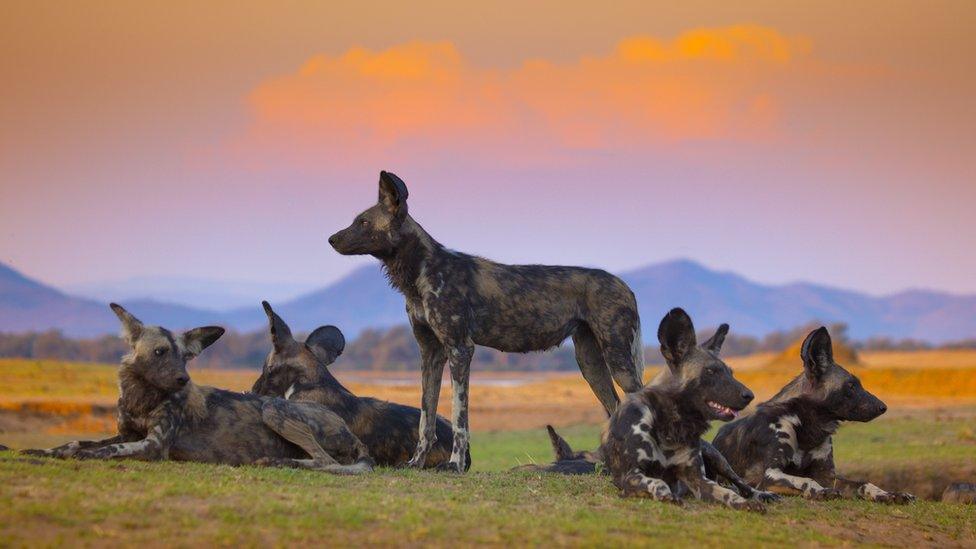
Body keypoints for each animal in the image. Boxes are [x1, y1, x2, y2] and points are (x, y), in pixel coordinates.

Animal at [23, 302, 374, 474]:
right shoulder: (126, 434)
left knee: (325, 462)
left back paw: (278, 462)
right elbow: (75, 441)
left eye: (186, 357)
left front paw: (80, 455)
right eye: (160, 352)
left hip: (273, 408)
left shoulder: (152, 445)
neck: (141, 398)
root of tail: (351, 432)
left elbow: (103, 450)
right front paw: (43, 451)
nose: (183, 379)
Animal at [332, 171, 644, 470]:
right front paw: (416, 463)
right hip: (590, 364)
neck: (422, 270)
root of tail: (624, 285)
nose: (331, 239)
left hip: (618, 362)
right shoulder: (430, 353)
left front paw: (455, 464)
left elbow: (459, 418)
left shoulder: (460, 349)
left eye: (363, 222)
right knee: (615, 408)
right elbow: (426, 419)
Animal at [600, 308, 768, 510]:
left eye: (730, 373)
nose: (750, 395)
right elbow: (658, 482)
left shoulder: (698, 479)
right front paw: (666, 495)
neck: (671, 423)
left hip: (718, 459)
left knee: (740, 484)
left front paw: (744, 503)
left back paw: (762, 494)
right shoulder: (630, 475)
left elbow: (728, 493)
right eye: (710, 371)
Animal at [708, 328, 916, 504]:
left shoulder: (828, 476)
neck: (807, 427)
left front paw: (889, 494)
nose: (883, 407)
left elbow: (863, 483)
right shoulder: (770, 475)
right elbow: (805, 480)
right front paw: (821, 492)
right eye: (850, 386)